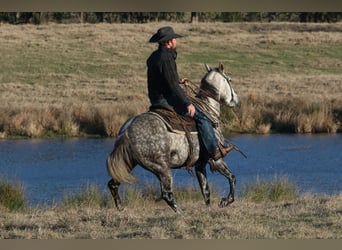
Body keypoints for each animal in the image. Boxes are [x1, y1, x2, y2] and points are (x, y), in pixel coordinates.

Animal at [106, 63, 238, 213]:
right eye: (230, 79)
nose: (236, 100)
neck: (208, 112)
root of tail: (127, 131)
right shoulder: (216, 159)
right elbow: (232, 178)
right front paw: (225, 201)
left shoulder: (200, 164)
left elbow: (206, 191)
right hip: (162, 168)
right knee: (167, 194)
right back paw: (180, 213)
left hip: (129, 163)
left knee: (113, 184)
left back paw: (120, 208)